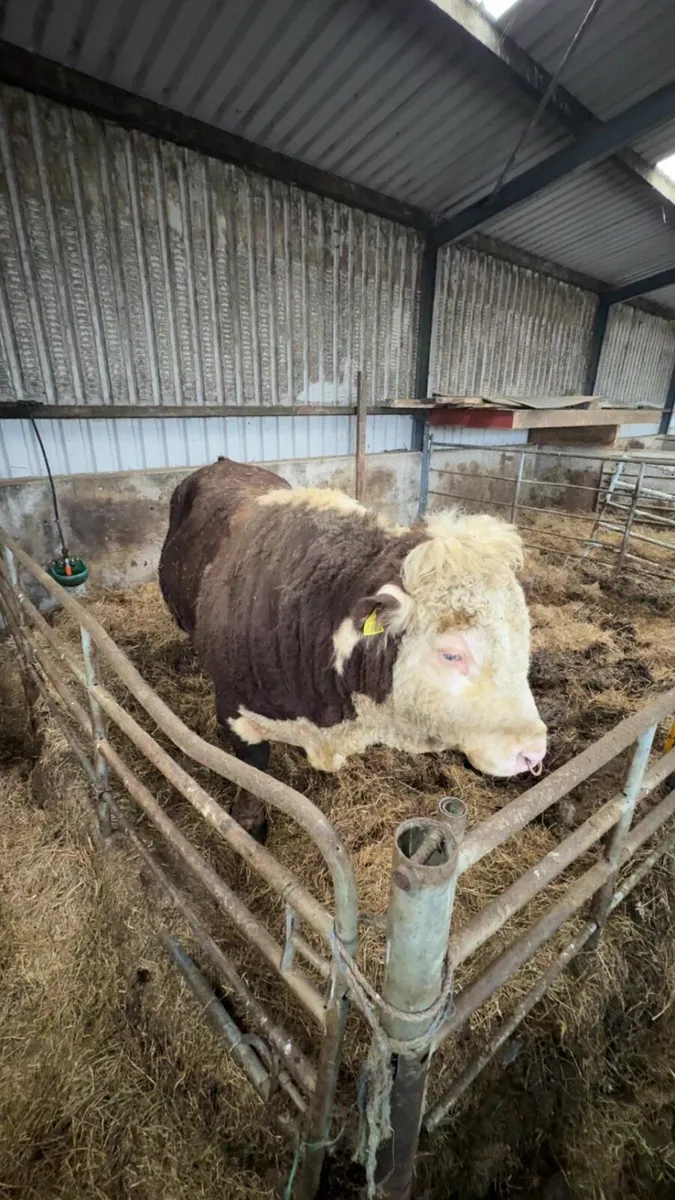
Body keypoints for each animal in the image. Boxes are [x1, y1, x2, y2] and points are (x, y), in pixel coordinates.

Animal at [159, 458, 546, 840]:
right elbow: (254, 774)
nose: (533, 752)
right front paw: (250, 823)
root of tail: (224, 462)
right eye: (452, 654)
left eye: (524, 641)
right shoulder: (233, 709)